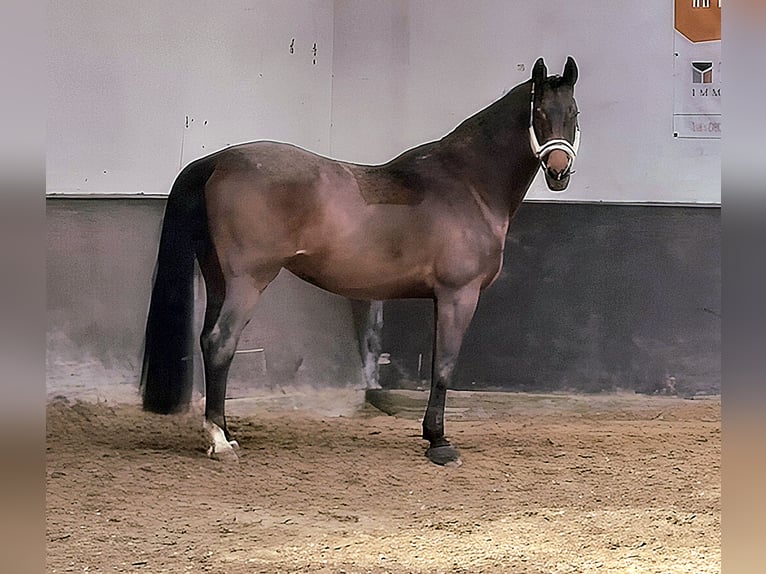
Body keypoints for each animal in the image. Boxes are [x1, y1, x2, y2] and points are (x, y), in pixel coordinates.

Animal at [141, 57, 581, 466]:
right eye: (540, 114)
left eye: (573, 113)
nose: (559, 171)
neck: (467, 184)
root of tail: (217, 161)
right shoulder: (459, 295)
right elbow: (444, 366)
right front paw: (439, 443)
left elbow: (438, 362)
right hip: (248, 281)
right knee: (220, 343)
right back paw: (219, 440)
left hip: (218, 279)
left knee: (207, 340)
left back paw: (226, 433)